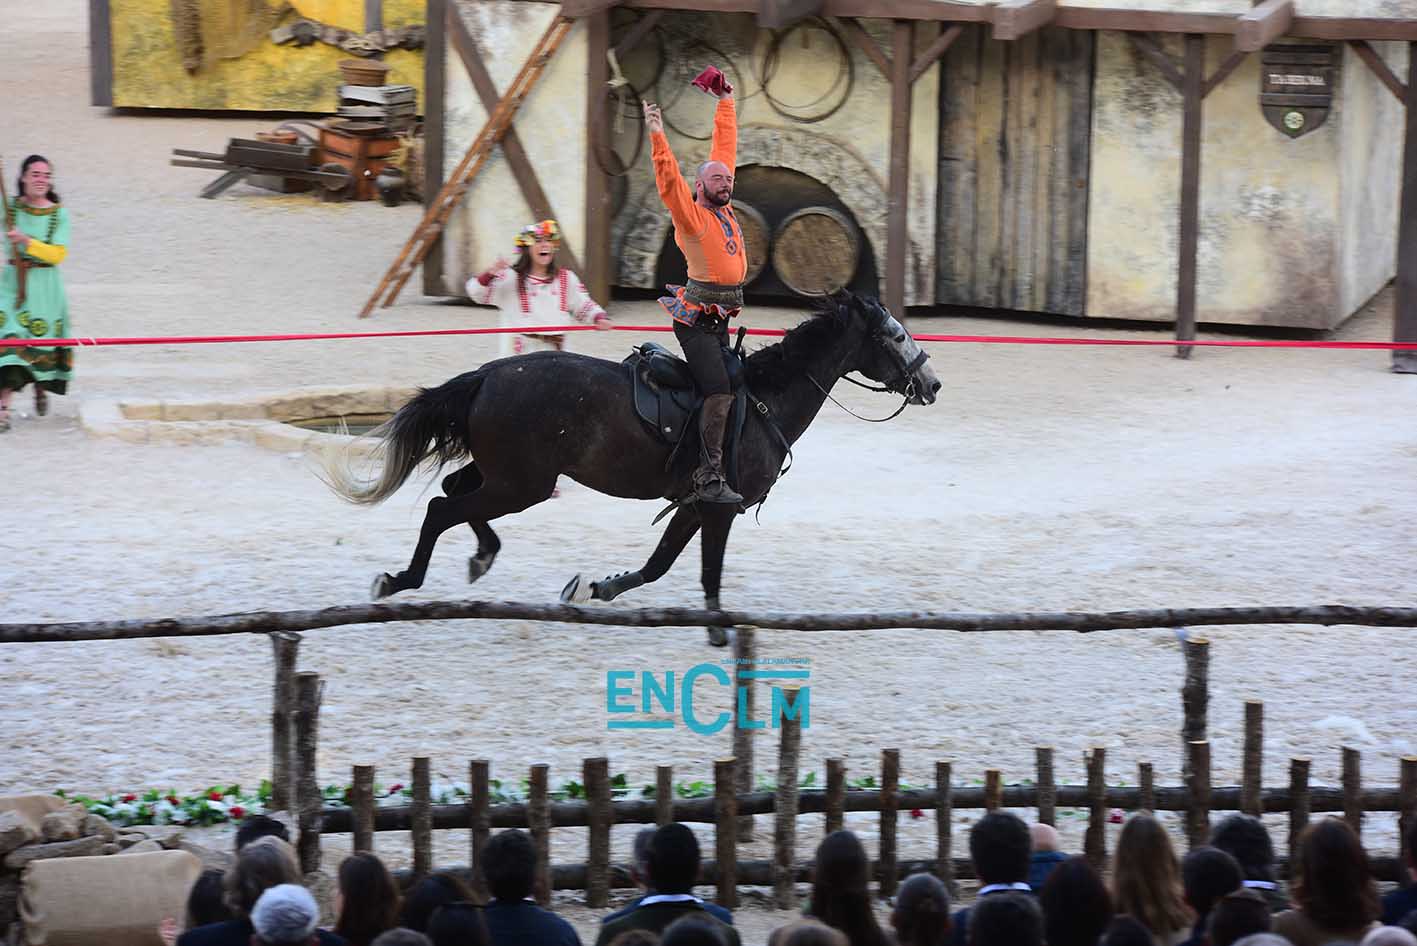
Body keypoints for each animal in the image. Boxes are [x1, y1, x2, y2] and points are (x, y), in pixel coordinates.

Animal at [323, 291, 941, 644]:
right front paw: (717, 631)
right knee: (440, 507)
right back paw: (403, 578)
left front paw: (599, 587)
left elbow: (658, 564)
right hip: (521, 484)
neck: (765, 400)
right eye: (894, 335)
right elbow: (707, 573)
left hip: (506, 475)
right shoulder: (720, 508)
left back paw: (481, 556)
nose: (931, 384)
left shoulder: (693, 505)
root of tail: (490, 374)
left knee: (453, 493)